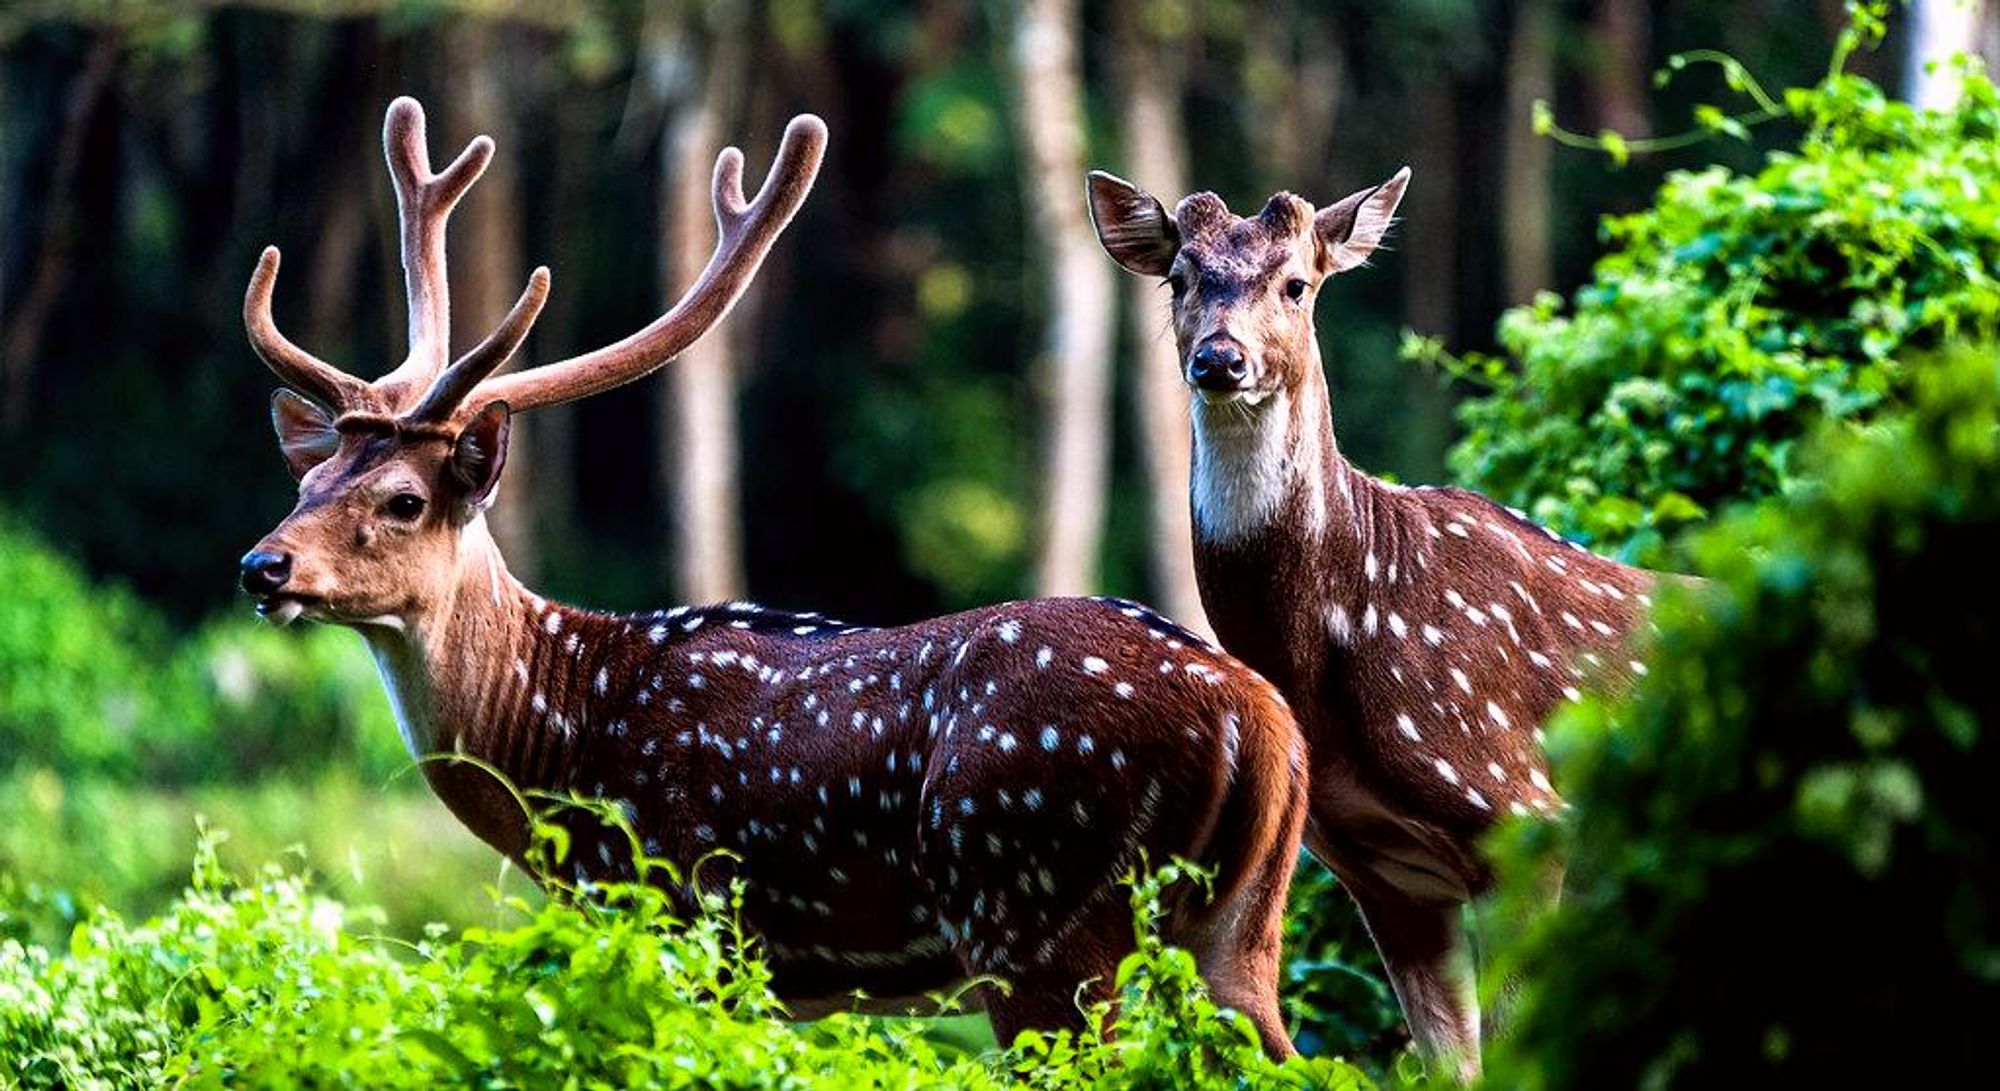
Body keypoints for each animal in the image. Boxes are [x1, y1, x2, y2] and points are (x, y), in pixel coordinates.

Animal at [234, 97, 1310, 1056]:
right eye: (309, 479)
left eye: (403, 500)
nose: (261, 563)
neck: (561, 742)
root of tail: (1257, 721)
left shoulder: (694, 923)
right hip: (1240, 929)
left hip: (1035, 914)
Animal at [1086, 168, 1664, 1078]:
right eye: (1179, 279)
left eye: (1296, 283)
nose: (1220, 358)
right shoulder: (1380, 868)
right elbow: (1450, 1063)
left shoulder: (1522, 810)